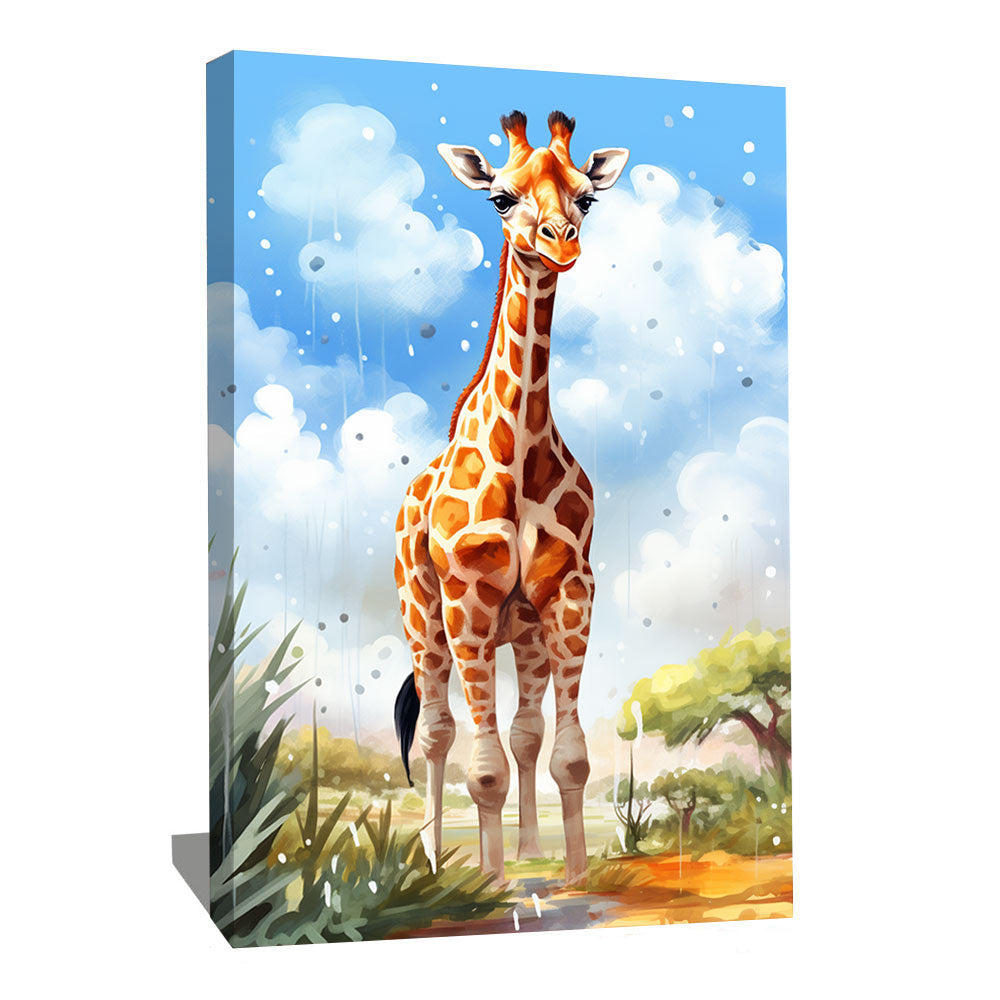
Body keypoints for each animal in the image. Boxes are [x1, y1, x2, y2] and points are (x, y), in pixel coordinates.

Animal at [393, 110, 629, 885]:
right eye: (499, 197)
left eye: (587, 196)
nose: (561, 243)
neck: (520, 451)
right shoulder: (466, 601)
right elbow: (482, 767)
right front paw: (489, 883)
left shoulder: (569, 595)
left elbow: (566, 755)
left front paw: (572, 874)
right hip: (424, 622)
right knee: (436, 733)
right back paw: (439, 861)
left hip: (520, 633)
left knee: (523, 732)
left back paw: (527, 852)